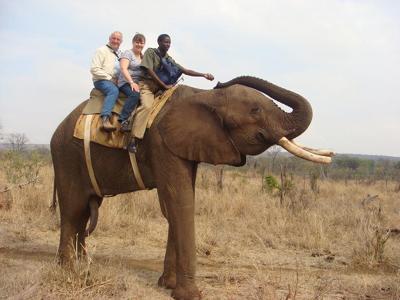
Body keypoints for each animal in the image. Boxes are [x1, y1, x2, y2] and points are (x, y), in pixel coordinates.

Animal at [50, 76, 332, 298]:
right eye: (255, 111)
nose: (219, 81)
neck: (204, 95)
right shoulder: (161, 142)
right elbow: (179, 201)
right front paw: (189, 295)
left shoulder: (185, 143)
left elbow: (176, 203)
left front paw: (166, 285)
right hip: (66, 155)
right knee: (73, 210)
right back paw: (69, 270)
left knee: (83, 212)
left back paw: (84, 264)